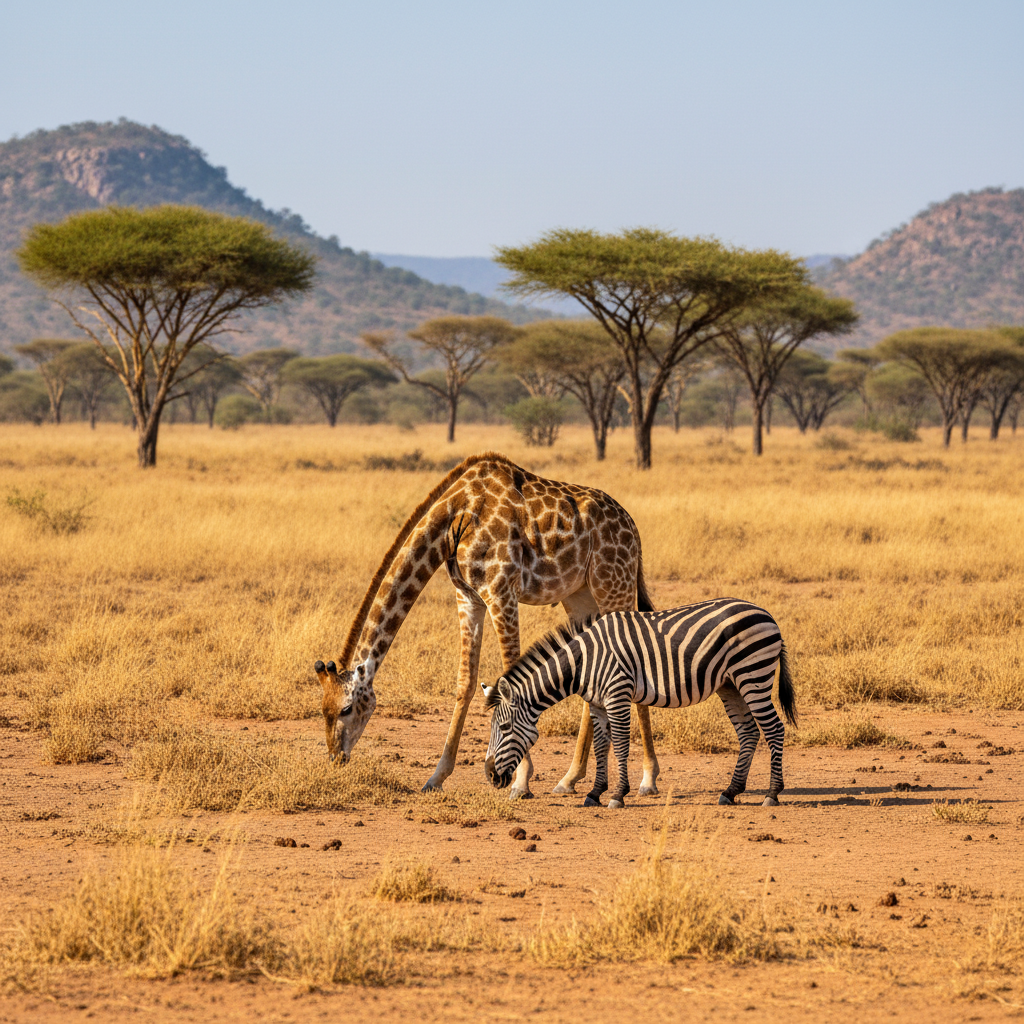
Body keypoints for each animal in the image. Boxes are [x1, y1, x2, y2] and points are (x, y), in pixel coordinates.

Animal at [314, 451, 661, 799]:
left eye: (346, 708)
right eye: (323, 709)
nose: (336, 757)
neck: (455, 517)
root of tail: (633, 529)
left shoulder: (500, 592)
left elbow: (513, 675)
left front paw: (520, 782)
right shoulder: (468, 598)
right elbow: (465, 683)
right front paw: (436, 777)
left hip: (614, 585)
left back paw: (648, 778)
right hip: (580, 595)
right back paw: (570, 778)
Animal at [443, 538, 796, 809]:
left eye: (503, 727)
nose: (490, 776)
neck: (583, 661)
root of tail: (767, 615)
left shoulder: (617, 695)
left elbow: (622, 743)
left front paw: (617, 795)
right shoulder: (598, 704)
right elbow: (602, 746)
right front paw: (594, 793)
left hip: (753, 676)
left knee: (774, 729)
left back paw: (772, 794)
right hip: (730, 684)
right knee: (748, 732)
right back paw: (731, 792)